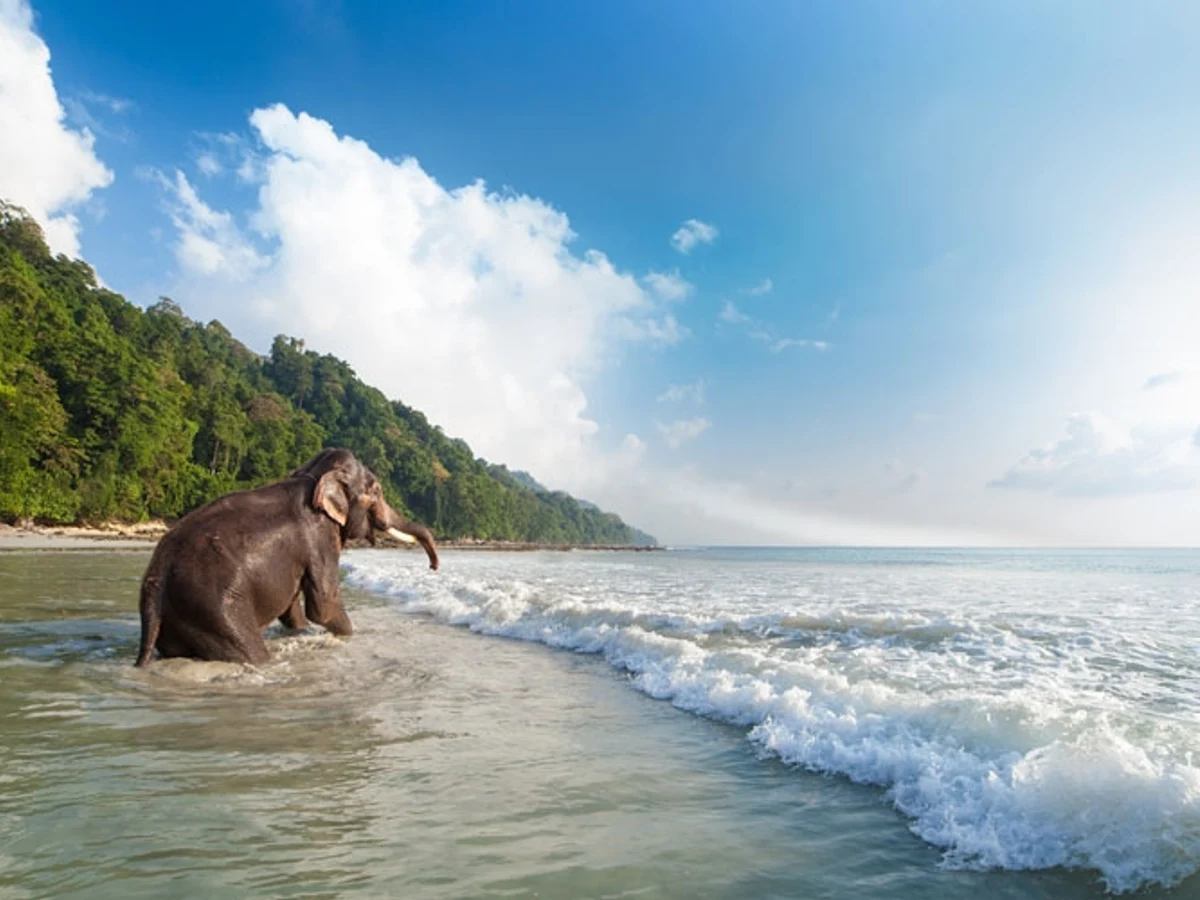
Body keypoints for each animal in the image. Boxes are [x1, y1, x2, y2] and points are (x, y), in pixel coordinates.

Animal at [134, 448, 438, 666]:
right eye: (376, 491)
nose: (434, 567)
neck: (313, 476)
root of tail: (156, 580)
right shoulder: (319, 537)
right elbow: (324, 606)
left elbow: (293, 604)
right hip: (215, 610)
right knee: (250, 652)